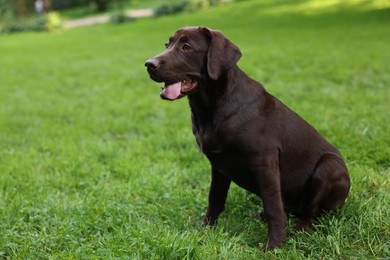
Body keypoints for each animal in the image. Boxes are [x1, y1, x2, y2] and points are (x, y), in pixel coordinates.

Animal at [145, 25, 352, 250]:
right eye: (167, 44)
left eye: (186, 47)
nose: (148, 64)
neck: (211, 110)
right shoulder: (218, 165)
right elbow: (215, 199)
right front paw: (206, 229)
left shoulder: (264, 162)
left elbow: (273, 207)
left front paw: (274, 245)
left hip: (329, 166)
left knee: (310, 213)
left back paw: (297, 230)